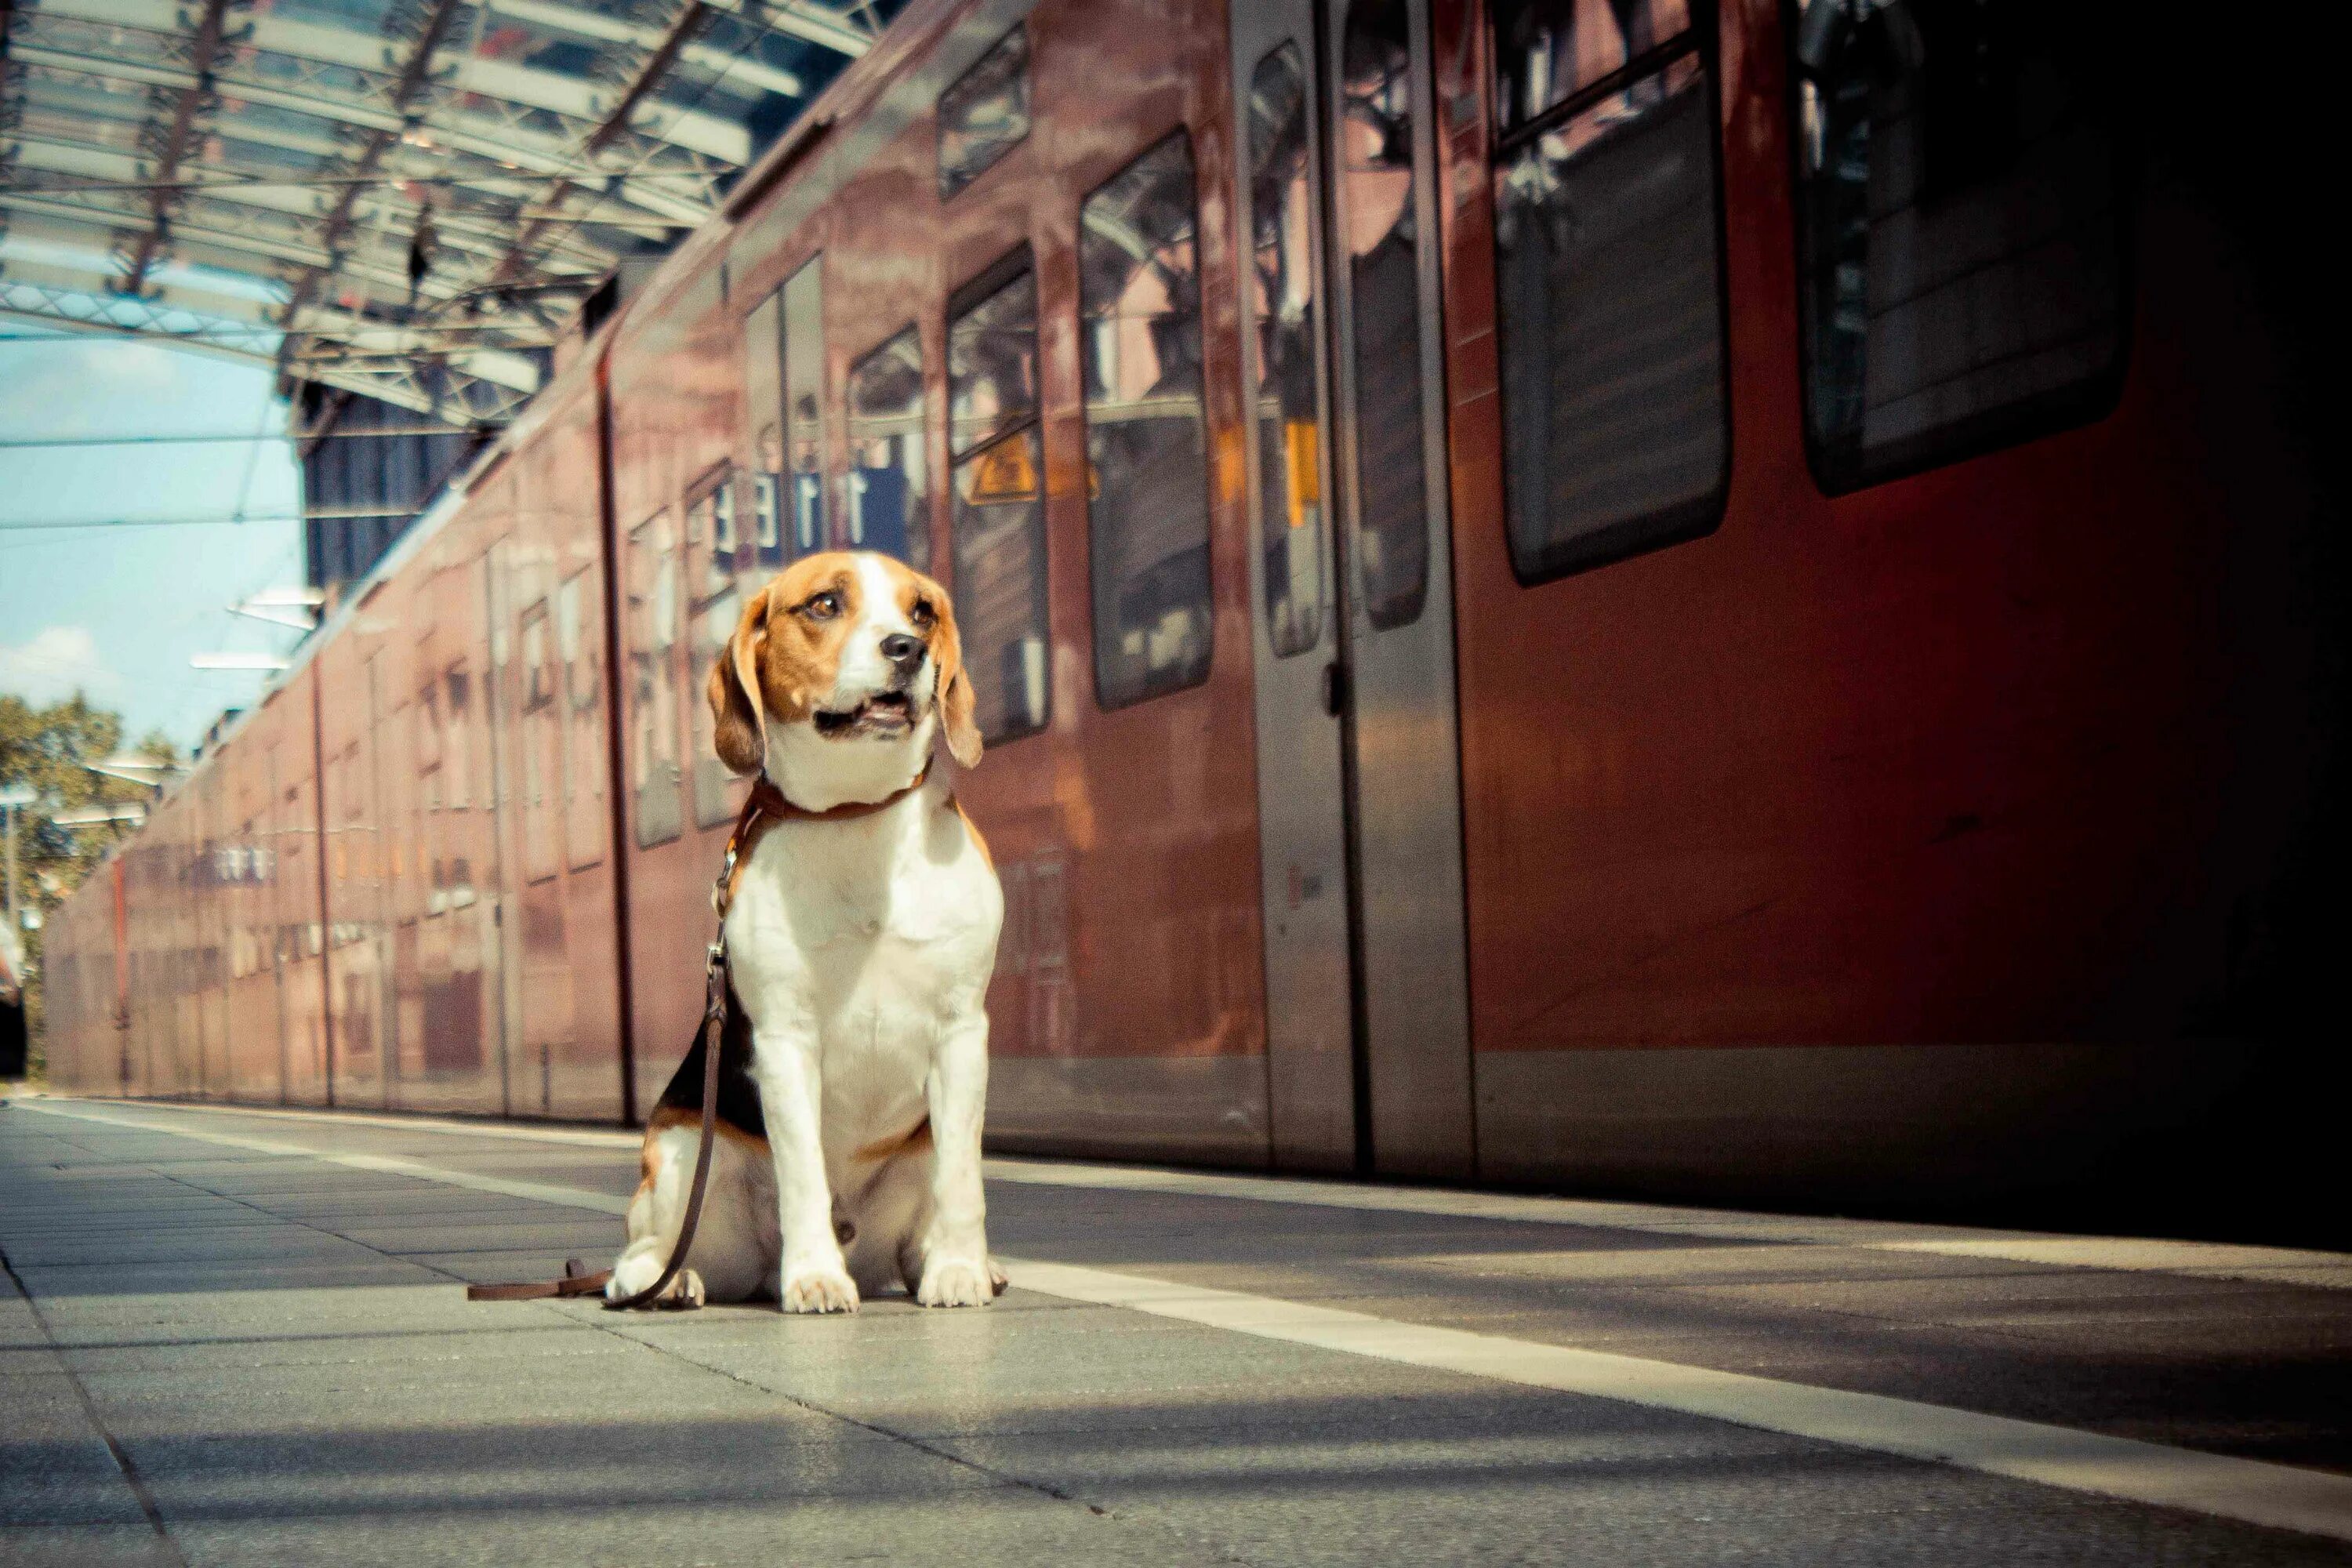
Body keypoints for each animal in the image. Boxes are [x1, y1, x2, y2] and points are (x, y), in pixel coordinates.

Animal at [607, 552, 1002, 1316]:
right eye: (824, 604)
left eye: (922, 612)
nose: (907, 651)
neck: (857, 813)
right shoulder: (786, 1042)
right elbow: (803, 1174)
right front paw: (816, 1276)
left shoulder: (962, 1032)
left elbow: (962, 1182)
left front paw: (960, 1269)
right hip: (679, 1150)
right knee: (647, 1248)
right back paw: (664, 1283)